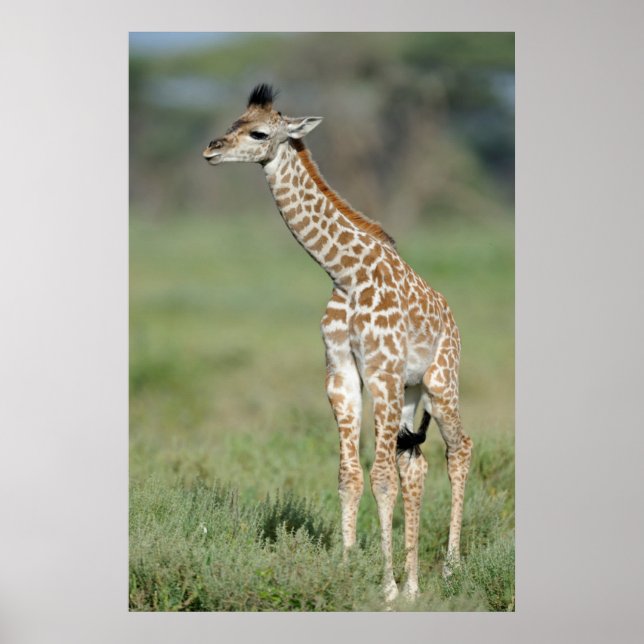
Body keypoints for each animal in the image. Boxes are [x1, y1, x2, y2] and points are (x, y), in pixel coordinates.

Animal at [202, 84, 473, 602]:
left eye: (259, 133)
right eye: (233, 122)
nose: (211, 149)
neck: (344, 273)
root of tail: (451, 317)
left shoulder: (382, 372)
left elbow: (380, 477)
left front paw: (385, 588)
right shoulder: (342, 373)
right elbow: (350, 476)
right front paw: (350, 572)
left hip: (440, 381)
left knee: (460, 448)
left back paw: (449, 570)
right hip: (412, 392)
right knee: (416, 464)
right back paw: (415, 586)